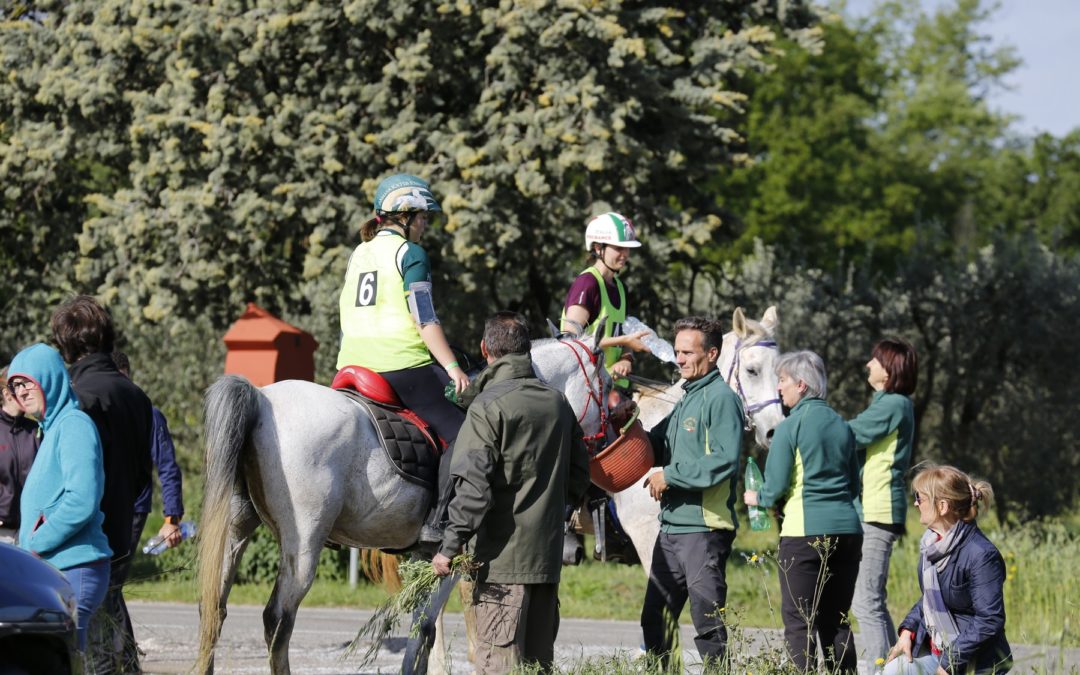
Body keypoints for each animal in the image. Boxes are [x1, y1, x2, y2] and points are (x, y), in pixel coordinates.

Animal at [194, 334, 609, 669]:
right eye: (607, 385)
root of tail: (262, 399)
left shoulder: (425, 557)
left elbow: (423, 632)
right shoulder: (455, 557)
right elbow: (427, 629)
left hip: (234, 531)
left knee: (212, 607)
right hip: (303, 545)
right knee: (278, 621)